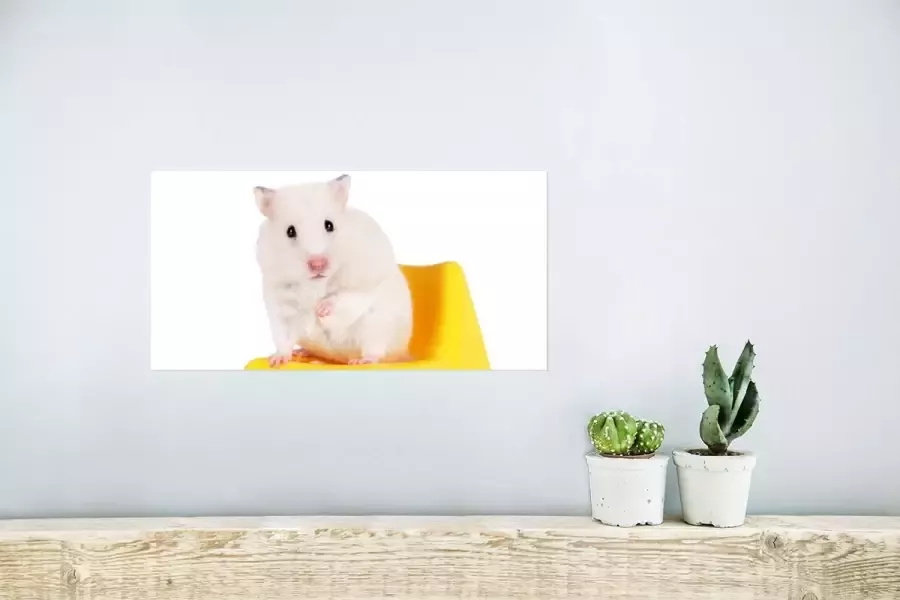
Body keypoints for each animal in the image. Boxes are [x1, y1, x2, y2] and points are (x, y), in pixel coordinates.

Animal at [254, 174, 413, 368]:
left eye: (329, 225)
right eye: (290, 231)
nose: (318, 264)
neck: (317, 283)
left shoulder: (364, 284)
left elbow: (345, 297)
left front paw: (320, 310)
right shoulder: (280, 304)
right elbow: (283, 338)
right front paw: (277, 360)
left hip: (377, 328)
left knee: (376, 351)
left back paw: (361, 360)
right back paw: (303, 353)